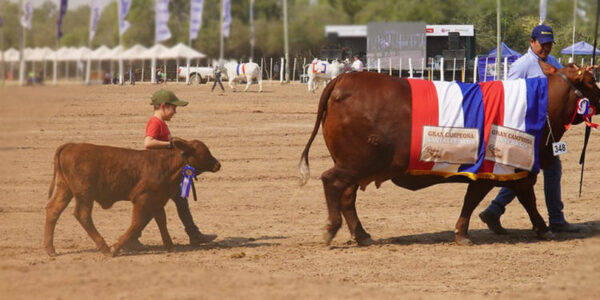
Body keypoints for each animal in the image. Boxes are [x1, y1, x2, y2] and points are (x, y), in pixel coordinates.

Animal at [44, 137, 221, 256]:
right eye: (205, 152)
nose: (218, 164)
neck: (166, 165)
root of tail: (71, 145)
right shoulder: (141, 199)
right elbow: (137, 223)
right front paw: (116, 247)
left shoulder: (157, 201)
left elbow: (161, 222)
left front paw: (170, 246)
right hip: (84, 194)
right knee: (83, 215)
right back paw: (105, 248)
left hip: (65, 189)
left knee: (53, 210)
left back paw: (50, 249)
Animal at [300, 61, 600, 246]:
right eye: (591, 80)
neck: (538, 106)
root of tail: (343, 79)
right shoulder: (502, 168)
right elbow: (515, 198)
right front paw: (543, 228)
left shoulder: (507, 170)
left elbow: (503, 198)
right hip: (356, 163)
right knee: (331, 182)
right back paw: (331, 229)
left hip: (356, 165)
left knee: (347, 196)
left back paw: (361, 235)